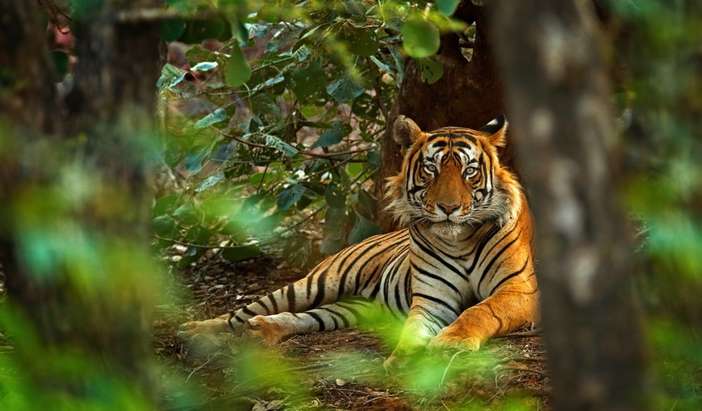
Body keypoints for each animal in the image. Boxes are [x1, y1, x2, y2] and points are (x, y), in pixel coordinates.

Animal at [179, 115, 539, 368]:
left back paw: (262, 330)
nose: (448, 208)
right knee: (242, 312)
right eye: (431, 170)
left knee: (306, 317)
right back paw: (195, 330)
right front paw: (404, 359)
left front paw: (451, 343)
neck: (459, 240)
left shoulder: (519, 289)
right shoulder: (431, 300)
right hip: (316, 283)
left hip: (354, 308)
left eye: (469, 172)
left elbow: (480, 310)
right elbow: (413, 329)